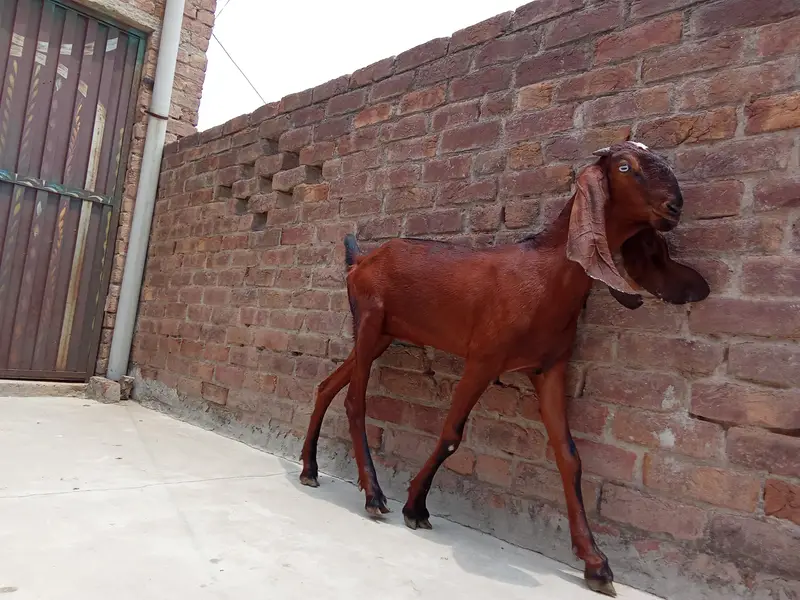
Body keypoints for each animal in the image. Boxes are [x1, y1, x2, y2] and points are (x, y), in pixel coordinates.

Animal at [299, 141, 710, 597]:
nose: (675, 206)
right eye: (625, 167)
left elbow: (570, 456)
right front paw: (415, 506)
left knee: (327, 385)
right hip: (370, 319)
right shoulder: (483, 358)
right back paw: (373, 495)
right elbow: (451, 435)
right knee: (354, 401)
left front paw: (596, 562)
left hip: (383, 334)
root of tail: (360, 259)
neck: (546, 275)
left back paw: (309, 469)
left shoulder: (549, 368)